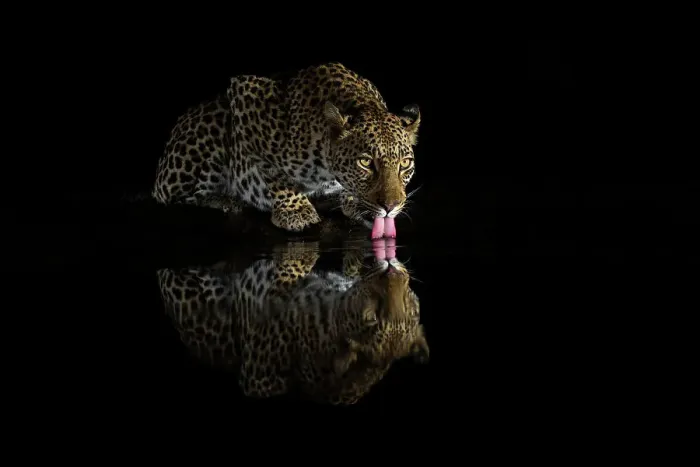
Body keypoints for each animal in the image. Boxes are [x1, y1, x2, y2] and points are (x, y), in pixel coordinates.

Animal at [151, 62, 421, 234]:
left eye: (405, 164)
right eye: (365, 162)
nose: (390, 207)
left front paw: (351, 200)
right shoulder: (243, 95)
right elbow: (274, 173)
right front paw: (296, 211)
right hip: (205, 135)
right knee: (171, 197)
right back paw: (226, 200)